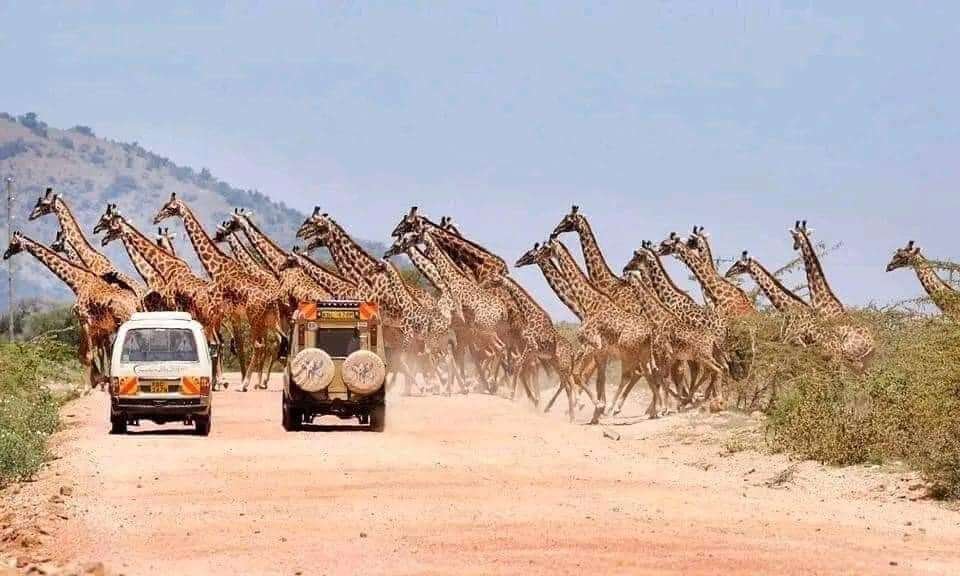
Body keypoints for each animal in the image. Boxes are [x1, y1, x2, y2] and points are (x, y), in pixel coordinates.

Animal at [3, 230, 140, 388]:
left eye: (13, 243)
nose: (5, 255)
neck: (78, 282)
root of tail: (135, 300)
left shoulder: (85, 320)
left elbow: (88, 354)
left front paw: (92, 383)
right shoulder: (95, 326)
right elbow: (93, 352)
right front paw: (98, 379)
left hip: (122, 322)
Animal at [150, 194, 278, 392]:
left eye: (169, 207)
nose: (156, 218)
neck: (217, 266)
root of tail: (271, 299)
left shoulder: (224, 313)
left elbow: (226, 344)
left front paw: (221, 381)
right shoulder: (223, 315)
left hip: (254, 316)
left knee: (260, 344)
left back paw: (246, 384)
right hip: (264, 318)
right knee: (269, 343)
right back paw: (256, 382)